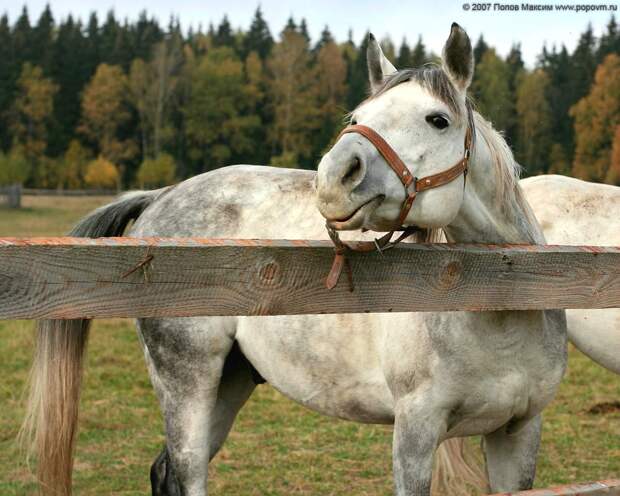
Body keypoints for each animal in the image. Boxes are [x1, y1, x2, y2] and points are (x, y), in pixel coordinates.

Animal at [23, 24, 568, 496]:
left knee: (163, 471)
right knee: (186, 473)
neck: (498, 301)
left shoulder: (519, 431)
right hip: (188, 384)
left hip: (230, 382)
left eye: (438, 119)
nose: (334, 176)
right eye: (358, 117)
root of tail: (161, 196)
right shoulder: (415, 432)